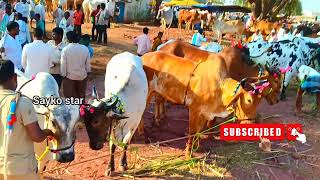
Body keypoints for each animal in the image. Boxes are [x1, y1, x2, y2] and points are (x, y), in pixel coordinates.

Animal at [142, 51, 280, 157]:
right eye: (248, 100)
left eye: (260, 101)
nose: (249, 123)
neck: (220, 88)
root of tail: (143, 57)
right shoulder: (194, 110)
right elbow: (193, 131)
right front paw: (188, 153)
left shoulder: (206, 113)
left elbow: (199, 131)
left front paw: (196, 147)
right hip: (147, 93)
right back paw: (144, 133)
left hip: (155, 92)